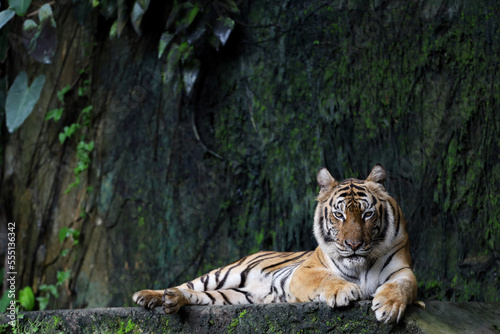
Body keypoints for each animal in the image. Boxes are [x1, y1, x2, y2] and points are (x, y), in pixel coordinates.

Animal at [134, 164, 418, 324]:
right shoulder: (306, 271)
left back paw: (172, 300)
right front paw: (344, 291)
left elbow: (402, 287)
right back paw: (149, 296)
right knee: (190, 284)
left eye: (367, 214)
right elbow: (327, 279)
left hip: (235, 297)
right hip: (225, 273)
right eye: (339, 215)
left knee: (198, 297)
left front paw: (389, 307)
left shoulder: (402, 270)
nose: (354, 244)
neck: (360, 264)